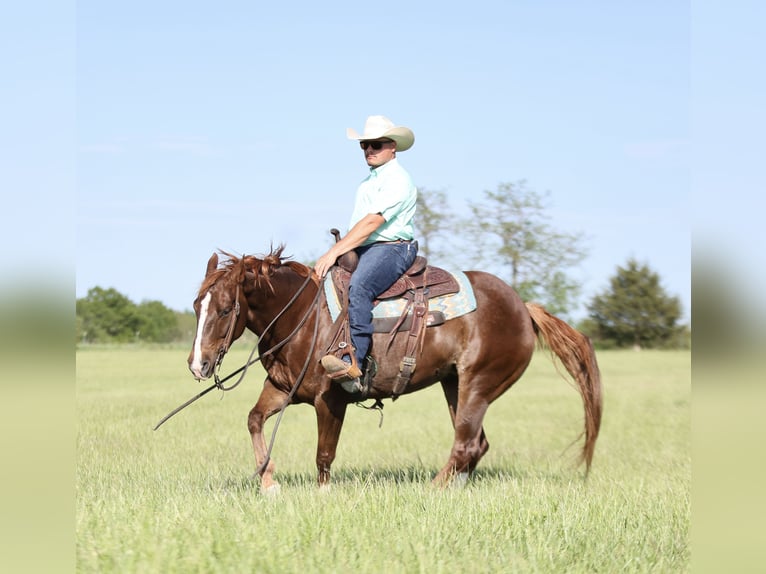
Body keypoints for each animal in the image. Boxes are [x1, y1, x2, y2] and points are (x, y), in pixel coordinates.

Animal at [189, 249, 604, 496]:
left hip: (479, 384)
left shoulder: (331, 398)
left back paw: (433, 490)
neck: (304, 317)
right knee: (475, 444)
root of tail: (523, 307)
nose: (198, 364)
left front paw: (322, 496)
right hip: (455, 384)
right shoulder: (281, 388)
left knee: (466, 443)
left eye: (225, 309)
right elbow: (254, 420)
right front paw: (268, 481)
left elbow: (324, 454)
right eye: (196, 306)